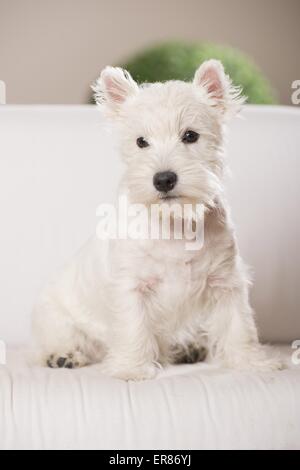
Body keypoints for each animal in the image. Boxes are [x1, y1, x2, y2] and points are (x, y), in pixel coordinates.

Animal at [33, 60, 284, 380]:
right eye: (141, 141)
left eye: (190, 135)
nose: (164, 179)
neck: (175, 224)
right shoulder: (132, 287)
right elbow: (134, 329)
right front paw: (132, 369)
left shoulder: (226, 281)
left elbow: (239, 326)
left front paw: (252, 364)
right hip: (57, 317)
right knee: (59, 339)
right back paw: (63, 356)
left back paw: (187, 349)